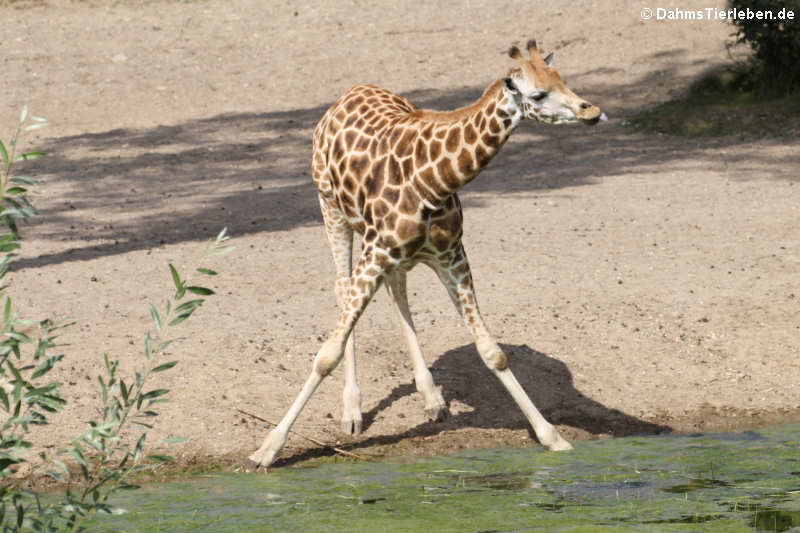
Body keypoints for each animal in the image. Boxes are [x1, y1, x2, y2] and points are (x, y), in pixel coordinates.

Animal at [248, 39, 606, 468]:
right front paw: (267, 448)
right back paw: (352, 410)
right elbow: (326, 353)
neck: (434, 182)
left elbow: (492, 352)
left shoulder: (451, 256)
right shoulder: (378, 250)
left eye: (562, 80)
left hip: (388, 250)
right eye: (538, 94)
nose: (592, 111)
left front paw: (553, 438)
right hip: (331, 209)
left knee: (396, 289)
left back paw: (432, 398)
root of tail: (347, 94)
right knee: (342, 287)